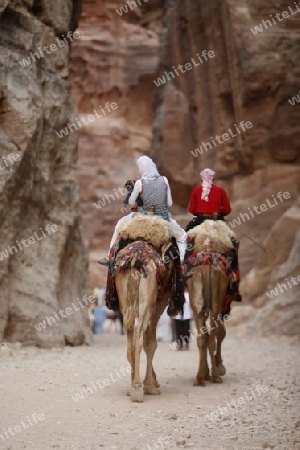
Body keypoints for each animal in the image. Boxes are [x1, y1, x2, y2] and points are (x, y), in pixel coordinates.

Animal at [185, 220, 237, 384]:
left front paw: (206, 371)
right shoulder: (223, 304)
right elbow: (221, 332)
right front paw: (220, 367)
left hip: (196, 297)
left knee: (202, 336)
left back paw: (200, 377)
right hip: (217, 300)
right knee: (214, 334)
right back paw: (215, 376)